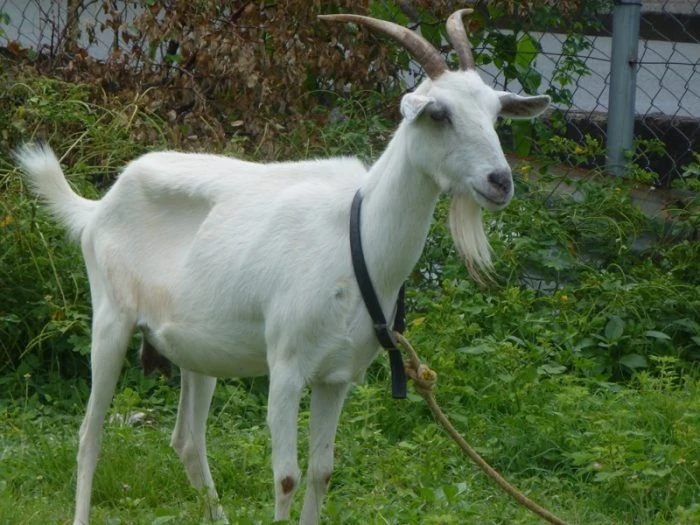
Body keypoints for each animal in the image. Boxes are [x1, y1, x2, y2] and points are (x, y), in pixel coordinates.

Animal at [17, 9, 548, 524]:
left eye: (495, 113)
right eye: (440, 114)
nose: (499, 181)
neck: (356, 238)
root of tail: (97, 207)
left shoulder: (337, 377)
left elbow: (322, 472)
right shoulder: (287, 367)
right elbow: (287, 478)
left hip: (198, 349)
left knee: (187, 440)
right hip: (111, 319)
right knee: (89, 435)